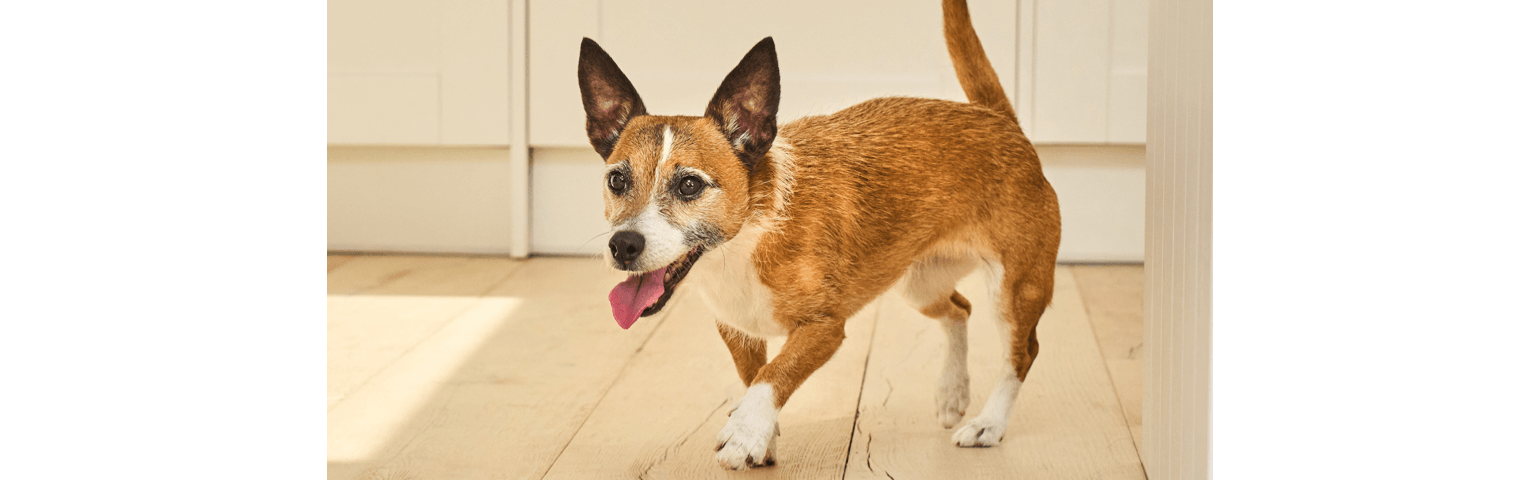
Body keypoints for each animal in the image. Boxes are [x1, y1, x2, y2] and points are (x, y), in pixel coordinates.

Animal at [579, 0, 1059, 473]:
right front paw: (763, 437)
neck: (747, 239)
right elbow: (755, 377)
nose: (623, 245)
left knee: (1022, 353)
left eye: (690, 185)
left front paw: (745, 432)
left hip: (1015, 291)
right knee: (960, 310)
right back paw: (953, 392)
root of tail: (999, 118)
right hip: (919, 283)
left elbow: (774, 375)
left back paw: (989, 423)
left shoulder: (824, 328)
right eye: (617, 180)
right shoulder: (738, 331)